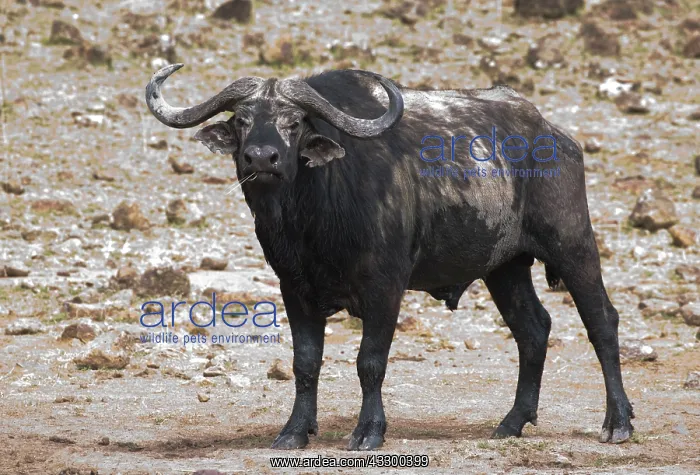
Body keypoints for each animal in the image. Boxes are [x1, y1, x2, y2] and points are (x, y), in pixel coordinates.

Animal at [145, 64, 634, 450]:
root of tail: (555, 136)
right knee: (533, 329)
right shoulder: (294, 289)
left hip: (573, 244)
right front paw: (294, 431)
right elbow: (305, 364)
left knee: (601, 322)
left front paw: (369, 431)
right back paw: (512, 422)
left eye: (294, 122)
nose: (262, 158)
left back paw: (618, 423)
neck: (312, 219)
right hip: (505, 268)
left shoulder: (385, 287)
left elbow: (370, 362)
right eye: (243, 120)